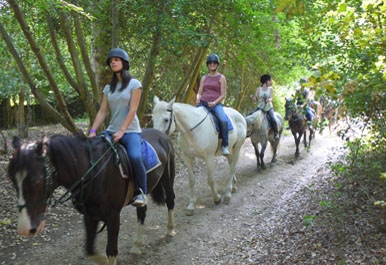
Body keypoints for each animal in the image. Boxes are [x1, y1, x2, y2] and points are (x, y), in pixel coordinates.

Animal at [7, 128, 175, 264]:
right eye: (13, 180)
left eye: (35, 180)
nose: (24, 228)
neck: (92, 172)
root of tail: (162, 134)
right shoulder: (90, 215)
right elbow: (89, 250)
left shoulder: (113, 215)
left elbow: (111, 251)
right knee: (142, 211)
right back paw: (136, 247)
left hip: (167, 178)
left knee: (170, 200)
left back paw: (169, 231)